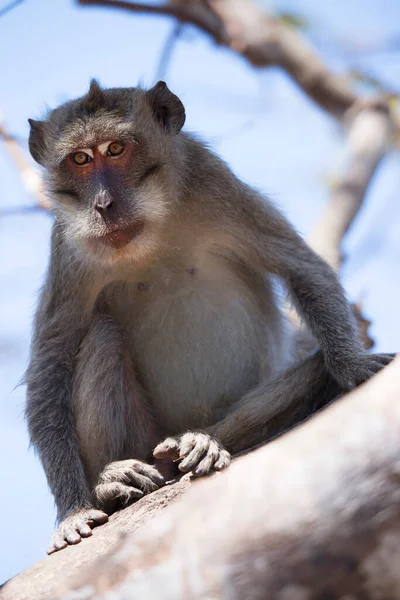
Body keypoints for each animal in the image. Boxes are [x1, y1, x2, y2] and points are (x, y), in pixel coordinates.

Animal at [25, 78, 394, 552]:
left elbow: (301, 268)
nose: (103, 204)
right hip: (144, 438)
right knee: (103, 335)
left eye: (116, 149)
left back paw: (204, 440)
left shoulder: (214, 181)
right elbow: (50, 365)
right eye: (80, 160)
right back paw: (110, 480)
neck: (154, 228)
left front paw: (352, 364)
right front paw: (72, 509)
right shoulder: (70, 251)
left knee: (312, 370)